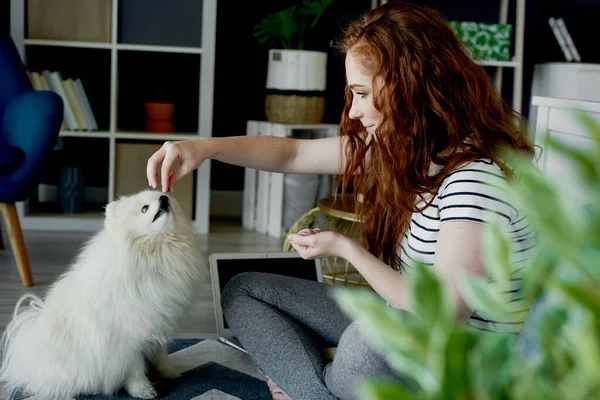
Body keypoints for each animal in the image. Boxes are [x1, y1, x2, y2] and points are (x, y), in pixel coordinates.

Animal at [0, 189, 206, 398]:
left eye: (166, 196)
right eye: (144, 208)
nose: (164, 198)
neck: (155, 252)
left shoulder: (158, 323)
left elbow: (160, 355)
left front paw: (168, 372)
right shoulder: (125, 339)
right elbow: (134, 368)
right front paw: (143, 389)